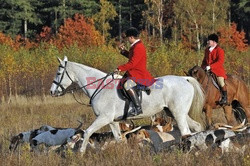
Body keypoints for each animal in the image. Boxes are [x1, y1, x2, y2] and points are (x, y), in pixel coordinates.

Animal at [49, 56, 205, 153]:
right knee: (196, 127)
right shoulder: (112, 121)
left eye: (58, 73)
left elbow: (87, 132)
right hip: (175, 112)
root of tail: (184, 79)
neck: (101, 87)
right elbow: (119, 139)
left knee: (185, 132)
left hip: (178, 113)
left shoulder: (103, 118)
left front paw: (81, 153)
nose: (52, 91)